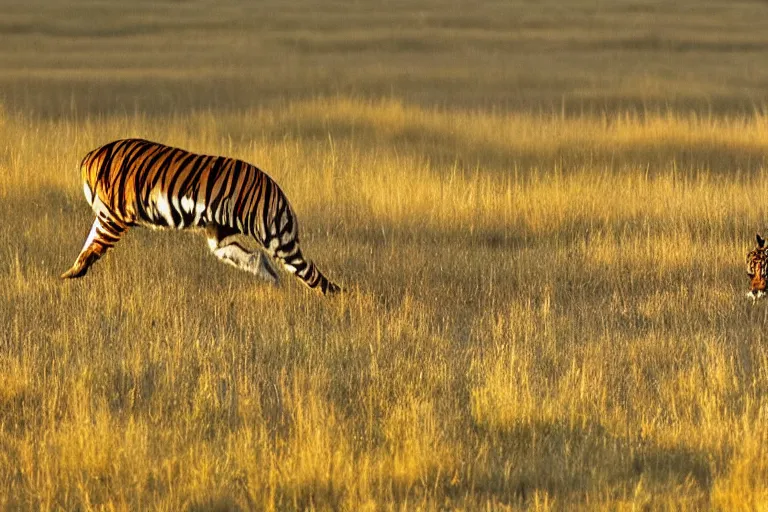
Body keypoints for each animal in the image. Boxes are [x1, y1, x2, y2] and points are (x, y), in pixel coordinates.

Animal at [61, 137, 344, 296]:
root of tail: (278, 191)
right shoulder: (107, 216)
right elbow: (88, 243)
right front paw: (71, 272)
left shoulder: (113, 217)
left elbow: (94, 244)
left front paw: (73, 273)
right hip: (219, 237)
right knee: (254, 258)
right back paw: (272, 279)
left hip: (274, 237)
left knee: (310, 273)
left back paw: (339, 298)